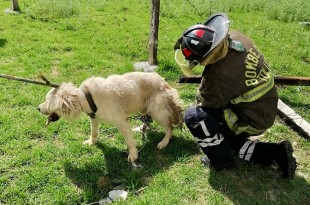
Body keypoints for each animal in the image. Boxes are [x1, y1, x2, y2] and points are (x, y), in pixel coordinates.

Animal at [38, 71, 184, 163]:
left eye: (47, 101)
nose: (38, 108)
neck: (87, 97)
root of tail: (166, 84)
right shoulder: (94, 118)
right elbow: (94, 132)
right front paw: (91, 142)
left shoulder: (121, 121)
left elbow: (129, 141)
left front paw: (133, 155)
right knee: (148, 122)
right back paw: (141, 129)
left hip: (157, 110)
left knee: (170, 128)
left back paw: (163, 142)